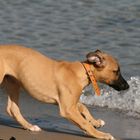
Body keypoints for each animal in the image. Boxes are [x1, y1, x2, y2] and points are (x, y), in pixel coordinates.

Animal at [0, 45, 129, 139]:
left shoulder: (70, 103)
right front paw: (102, 135)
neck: (80, 72)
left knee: (12, 109)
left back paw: (30, 126)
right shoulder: (67, 109)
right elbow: (84, 122)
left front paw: (95, 122)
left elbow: (83, 108)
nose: (127, 86)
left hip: (13, 83)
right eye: (116, 71)